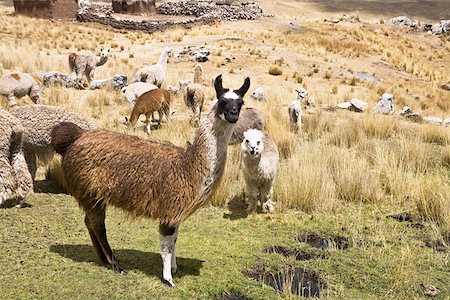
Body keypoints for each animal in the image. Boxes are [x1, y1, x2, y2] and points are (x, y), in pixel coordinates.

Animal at [51, 74, 251, 288]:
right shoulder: (169, 209)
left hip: (93, 196)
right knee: (98, 227)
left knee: (89, 223)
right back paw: (116, 265)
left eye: (240, 102)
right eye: (222, 101)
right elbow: (166, 246)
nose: (233, 115)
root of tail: (75, 138)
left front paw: (174, 268)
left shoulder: (176, 213)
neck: (189, 166)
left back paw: (104, 259)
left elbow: (175, 240)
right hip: (90, 193)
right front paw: (168, 279)